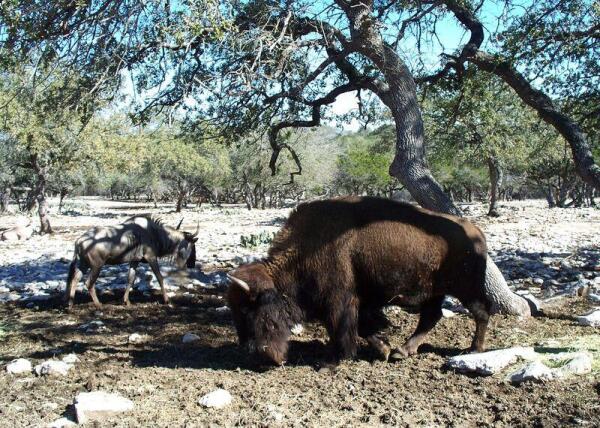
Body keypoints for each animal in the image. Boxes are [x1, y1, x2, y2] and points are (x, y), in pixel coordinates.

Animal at [227, 196, 490, 366]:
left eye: (247, 308)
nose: (254, 352)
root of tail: (476, 232)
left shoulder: (340, 302)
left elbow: (346, 329)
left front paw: (337, 359)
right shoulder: (356, 303)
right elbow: (363, 328)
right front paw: (384, 350)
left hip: (465, 289)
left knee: (481, 313)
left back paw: (473, 349)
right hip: (434, 292)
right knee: (431, 317)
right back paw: (402, 351)